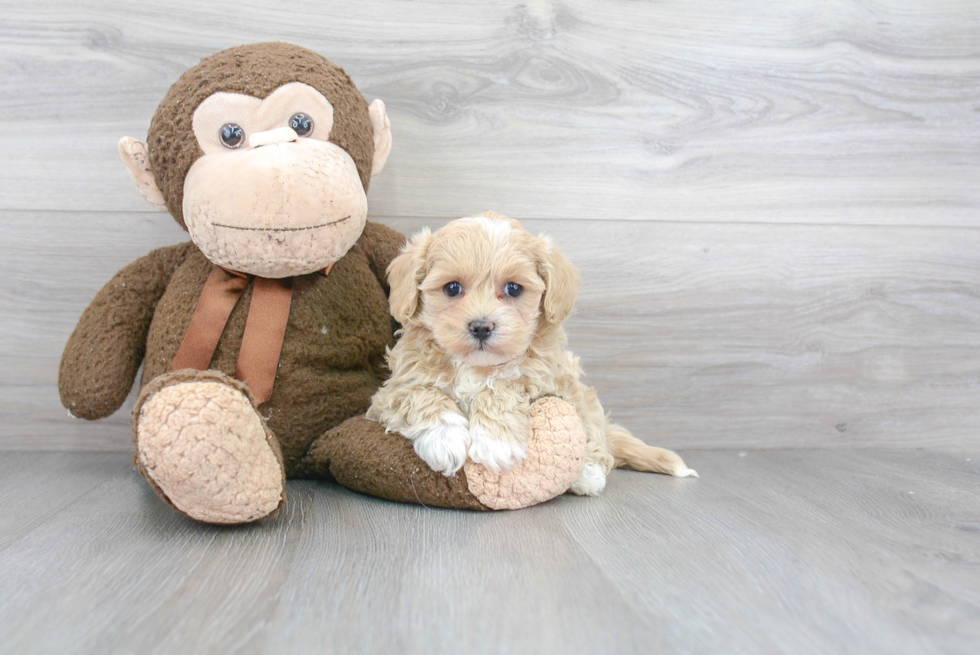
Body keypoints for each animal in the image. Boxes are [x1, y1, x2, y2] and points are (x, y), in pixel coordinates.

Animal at [368, 213, 696, 494]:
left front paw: (495, 443)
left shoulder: (545, 378)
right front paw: (446, 439)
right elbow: (421, 393)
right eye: (451, 288)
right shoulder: (391, 391)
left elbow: (503, 386)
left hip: (582, 398)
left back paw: (588, 473)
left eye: (514, 289)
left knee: (594, 436)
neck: (477, 366)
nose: (481, 326)